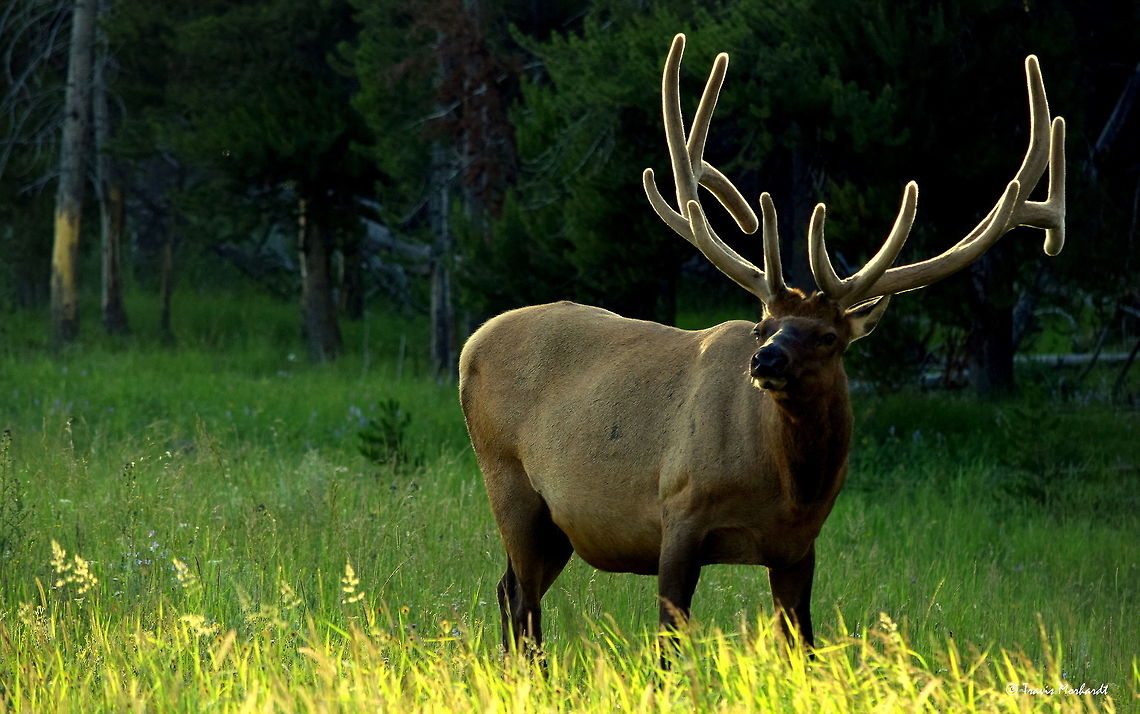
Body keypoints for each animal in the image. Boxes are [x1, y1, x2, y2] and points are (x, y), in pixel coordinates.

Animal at [458, 33, 1065, 656]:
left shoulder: (798, 548)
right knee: (523, 602)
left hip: (557, 525)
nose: (765, 358)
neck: (788, 487)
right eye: (762, 326)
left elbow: (803, 646)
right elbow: (669, 646)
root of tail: (470, 345)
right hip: (509, 483)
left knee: (508, 592)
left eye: (828, 337)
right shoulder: (678, 512)